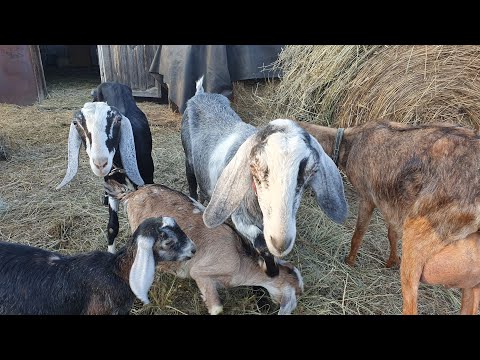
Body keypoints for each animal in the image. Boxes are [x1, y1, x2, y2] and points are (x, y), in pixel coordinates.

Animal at [182, 76, 346, 276]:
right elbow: (261, 242)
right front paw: (271, 271)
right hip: (188, 157)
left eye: (309, 171)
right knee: (191, 182)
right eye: (254, 165)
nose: (281, 242)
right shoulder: (240, 216)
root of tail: (201, 94)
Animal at [300, 119, 480, 314]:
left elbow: (358, 235)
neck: (349, 142)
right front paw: (391, 261)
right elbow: (391, 234)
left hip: (416, 239)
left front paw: (349, 262)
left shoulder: (368, 198)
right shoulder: (392, 206)